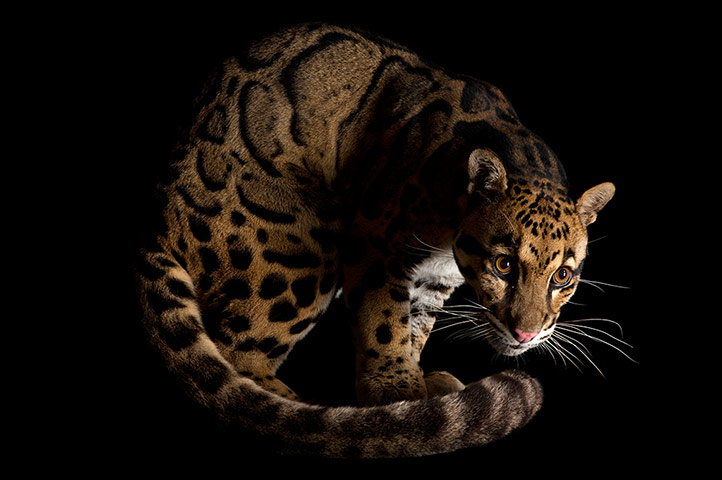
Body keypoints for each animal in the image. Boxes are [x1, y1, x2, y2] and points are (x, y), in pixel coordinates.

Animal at [135, 23, 615, 458]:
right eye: (504, 265)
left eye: (563, 276)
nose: (525, 333)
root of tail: (158, 220)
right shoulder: (373, 244)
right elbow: (385, 320)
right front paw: (399, 393)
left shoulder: (436, 276)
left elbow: (416, 324)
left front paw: (416, 382)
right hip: (306, 244)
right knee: (239, 354)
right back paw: (303, 411)